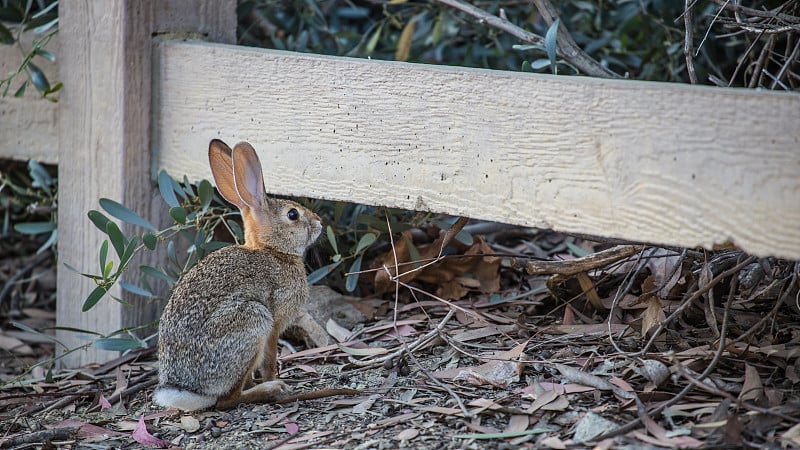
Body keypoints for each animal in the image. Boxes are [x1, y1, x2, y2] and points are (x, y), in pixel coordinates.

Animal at [152, 141, 324, 412]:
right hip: (253, 319)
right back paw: (271, 390)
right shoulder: (274, 323)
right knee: (227, 400)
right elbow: (270, 358)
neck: (272, 250)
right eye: (293, 215)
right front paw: (273, 378)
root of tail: (190, 389)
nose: (319, 223)